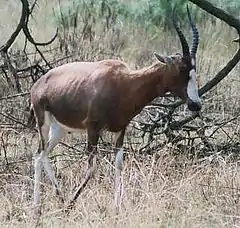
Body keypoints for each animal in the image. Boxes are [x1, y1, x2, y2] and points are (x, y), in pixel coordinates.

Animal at [31, 7, 202, 214]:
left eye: (194, 68)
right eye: (181, 68)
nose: (196, 104)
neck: (124, 82)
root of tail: (39, 83)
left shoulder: (121, 130)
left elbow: (119, 165)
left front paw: (117, 208)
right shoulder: (93, 129)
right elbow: (92, 168)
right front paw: (71, 205)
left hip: (59, 129)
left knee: (43, 155)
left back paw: (58, 200)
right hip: (43, 123)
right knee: (39, 155)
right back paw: (39, 207)